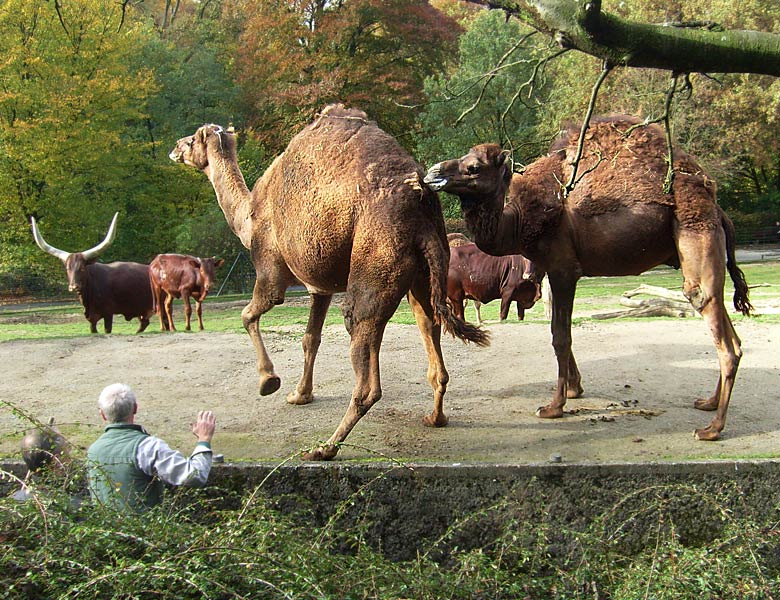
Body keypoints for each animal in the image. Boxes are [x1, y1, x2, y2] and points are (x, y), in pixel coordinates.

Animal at [171, 104, 488, 460]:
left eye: (190, 141)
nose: (174, 148)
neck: (248, 217)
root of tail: (421, 212)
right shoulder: (318, 287)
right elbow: (310, 338)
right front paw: (299, 394)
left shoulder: (270, 271)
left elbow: (248, 315)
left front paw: (269, 381)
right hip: (424, 275)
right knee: (430, 331)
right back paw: (435, 418)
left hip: (374, 264)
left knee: (366, 369)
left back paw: (325, 447)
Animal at [424, 115, 752, 440]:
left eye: (473, 167)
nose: (432, 173)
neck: (520, 218)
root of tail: (718, 210)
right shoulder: (551, 270)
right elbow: (557, 330)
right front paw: (574, 388)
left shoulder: (564, 268)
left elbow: (560, 336)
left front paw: (554, 406)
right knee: (729, 330)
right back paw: (708, 402)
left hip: (696, 236)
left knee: (717, 326)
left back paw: (712, 429)